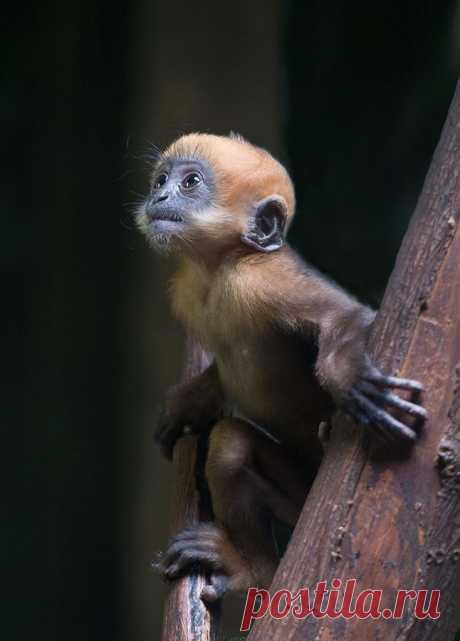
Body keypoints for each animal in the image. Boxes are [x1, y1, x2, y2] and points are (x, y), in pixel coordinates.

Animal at [135, 132, 426, 604]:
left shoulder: (262, 280)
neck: (219, 270)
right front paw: (188, 404)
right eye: (161, 180)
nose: (157, 196)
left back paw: (252, 570)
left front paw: (351, 380)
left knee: (229, 446)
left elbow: (345, 317)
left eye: (190, 182)